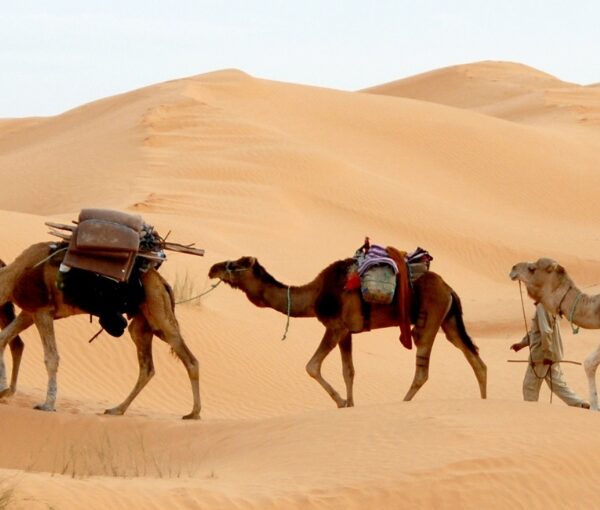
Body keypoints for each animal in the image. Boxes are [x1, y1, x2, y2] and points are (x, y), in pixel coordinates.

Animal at [0, 242, 202, 418]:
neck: (15, 274)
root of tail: (163, 283)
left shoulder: (42, 310)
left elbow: (51, 357)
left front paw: (47, 405)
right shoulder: (29, 312)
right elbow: (4, 338)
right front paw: (5, 391)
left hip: (159, 311)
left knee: (189, 358)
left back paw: (193, 413)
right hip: (142, 323)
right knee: (147, 367)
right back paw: (117, 409)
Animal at [209, 255, 486, 406]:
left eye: (236, 264)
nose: (213, 268)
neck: (314, 296)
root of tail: (449, 289)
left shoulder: (335, 327)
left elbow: (312, 366)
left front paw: (341, 402)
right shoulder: (347, 332)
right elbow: (348, 371)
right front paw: (350, 403)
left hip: (429, 319)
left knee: (422, 370)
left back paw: (402, 402)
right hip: (449, 320)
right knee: (476, 361)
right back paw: (484, 401)